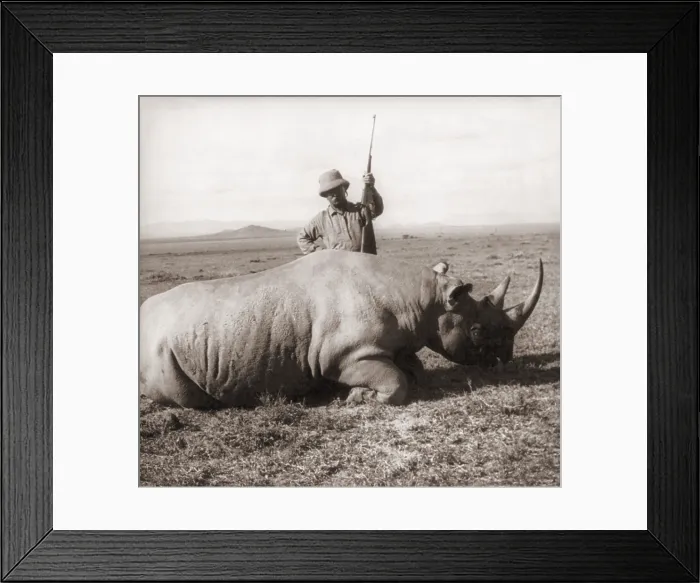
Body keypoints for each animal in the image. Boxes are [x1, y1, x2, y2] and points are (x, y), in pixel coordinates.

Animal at [139, 249, 542, 408]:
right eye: (478, 332)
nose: (504, 361)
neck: (425, 300)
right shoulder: (342, 357)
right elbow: (397, 383)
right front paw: (357, 397)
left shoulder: (392, 344)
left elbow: (414, 369)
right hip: (160, 351)